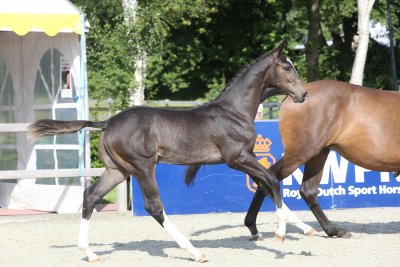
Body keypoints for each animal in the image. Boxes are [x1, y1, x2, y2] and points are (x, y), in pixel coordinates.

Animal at [245, 79, 400, 241]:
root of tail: (299, 92)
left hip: (318, 154)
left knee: (307, 190)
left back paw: (333, 230)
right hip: (300, 153)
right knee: (268, 176)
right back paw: (253, 226)